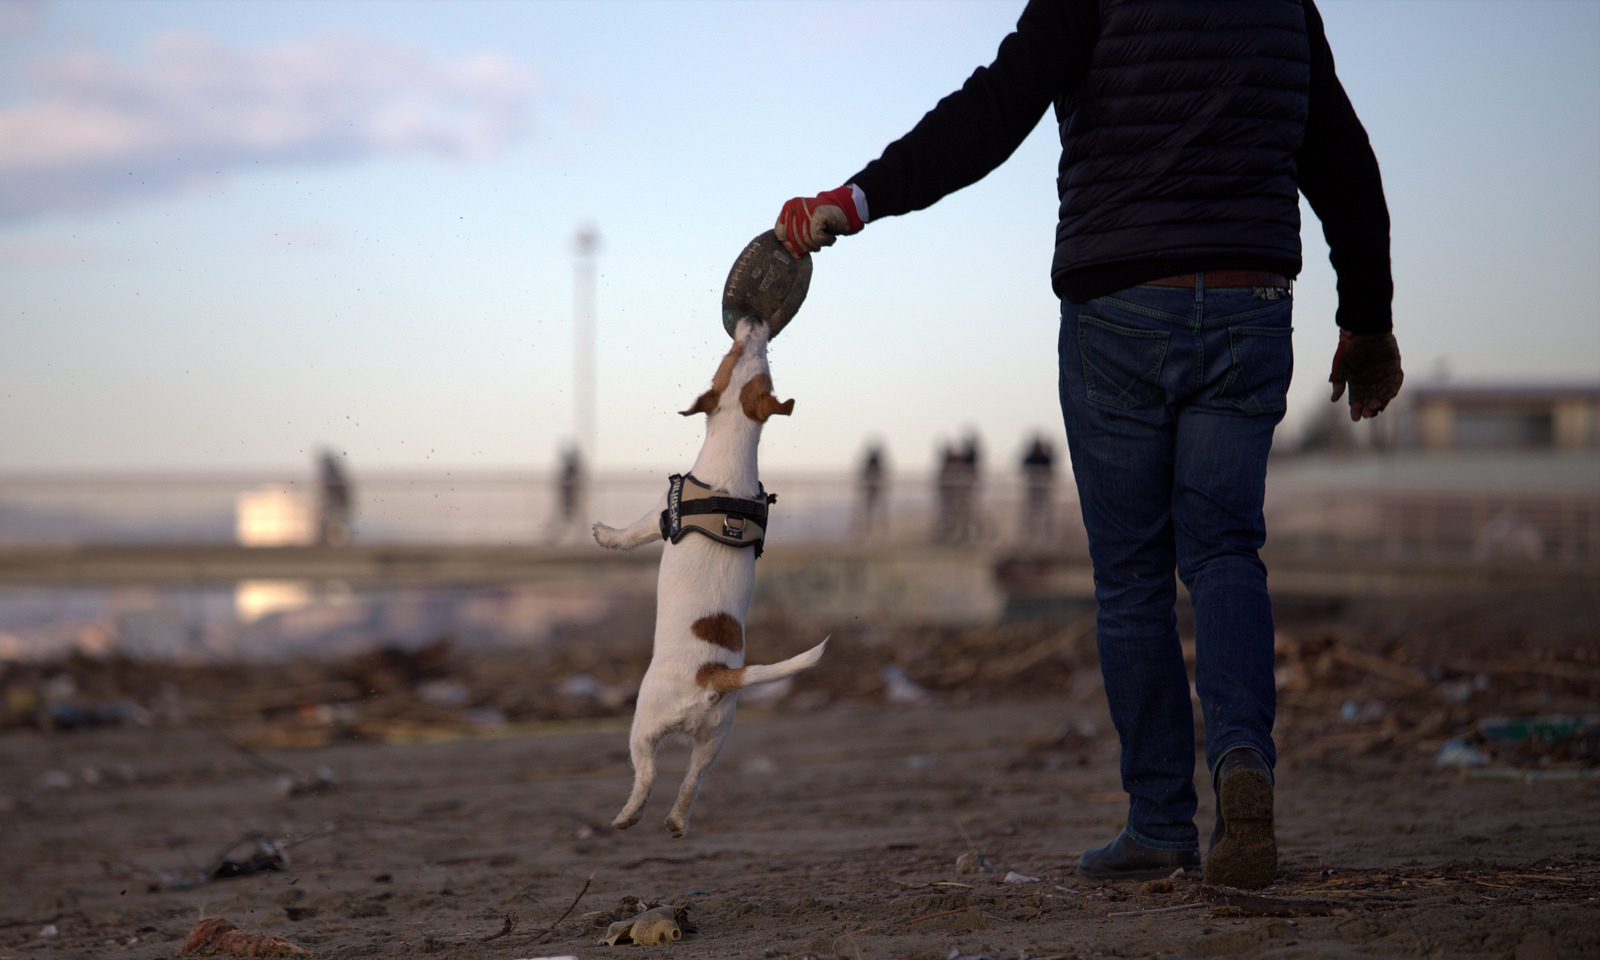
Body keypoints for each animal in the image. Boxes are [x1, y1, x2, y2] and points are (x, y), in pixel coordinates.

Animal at [595, 318, 832, 838]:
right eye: (749, 357)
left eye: (730, 355)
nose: (755, 322)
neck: (731, 467)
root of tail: (712, 675)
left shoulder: (660, 515)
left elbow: (631, 534)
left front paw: (605, 535)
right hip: (717, 738)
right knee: (692, 781)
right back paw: (676, 822)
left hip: (644, 722)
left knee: (648, 774)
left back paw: (627, 816)